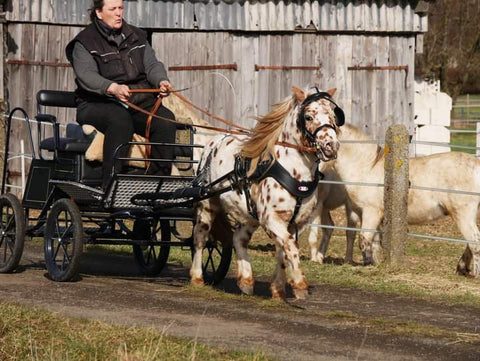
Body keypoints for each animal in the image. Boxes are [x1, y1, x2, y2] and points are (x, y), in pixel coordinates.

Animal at [328, 124, 480, 276]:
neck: (367, 167)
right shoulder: (357, 212)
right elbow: (370, 240)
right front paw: (373, 263)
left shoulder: (371, 212)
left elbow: (365, 239)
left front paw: (368, 264)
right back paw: (462, 267)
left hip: (463, 214)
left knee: (474, 240)